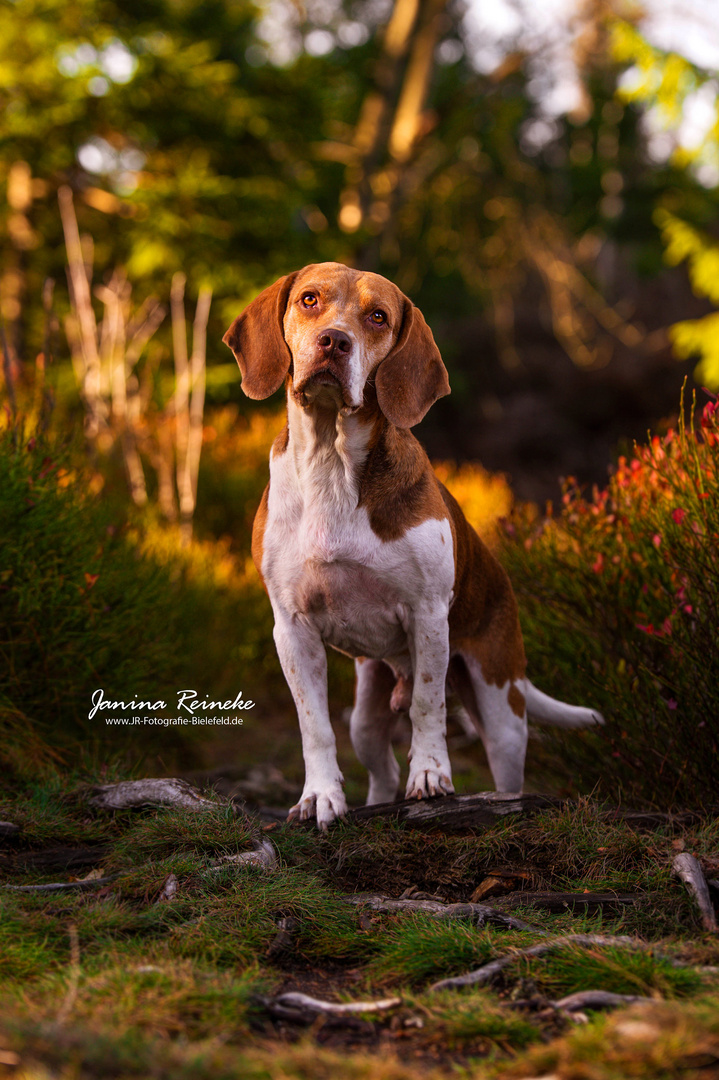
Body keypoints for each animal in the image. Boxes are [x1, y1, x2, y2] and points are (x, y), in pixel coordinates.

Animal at [222, 265, 600, 829]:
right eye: (310, 300)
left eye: (378, 316)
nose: (334, 341)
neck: (331, 465)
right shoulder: (291, 628)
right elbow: (314, 726)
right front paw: (320, 796)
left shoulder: (426, 613)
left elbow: (427, 705)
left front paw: (431, 775)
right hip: (366, 715)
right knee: (381, 771)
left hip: (502, 708)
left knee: (503, 769)